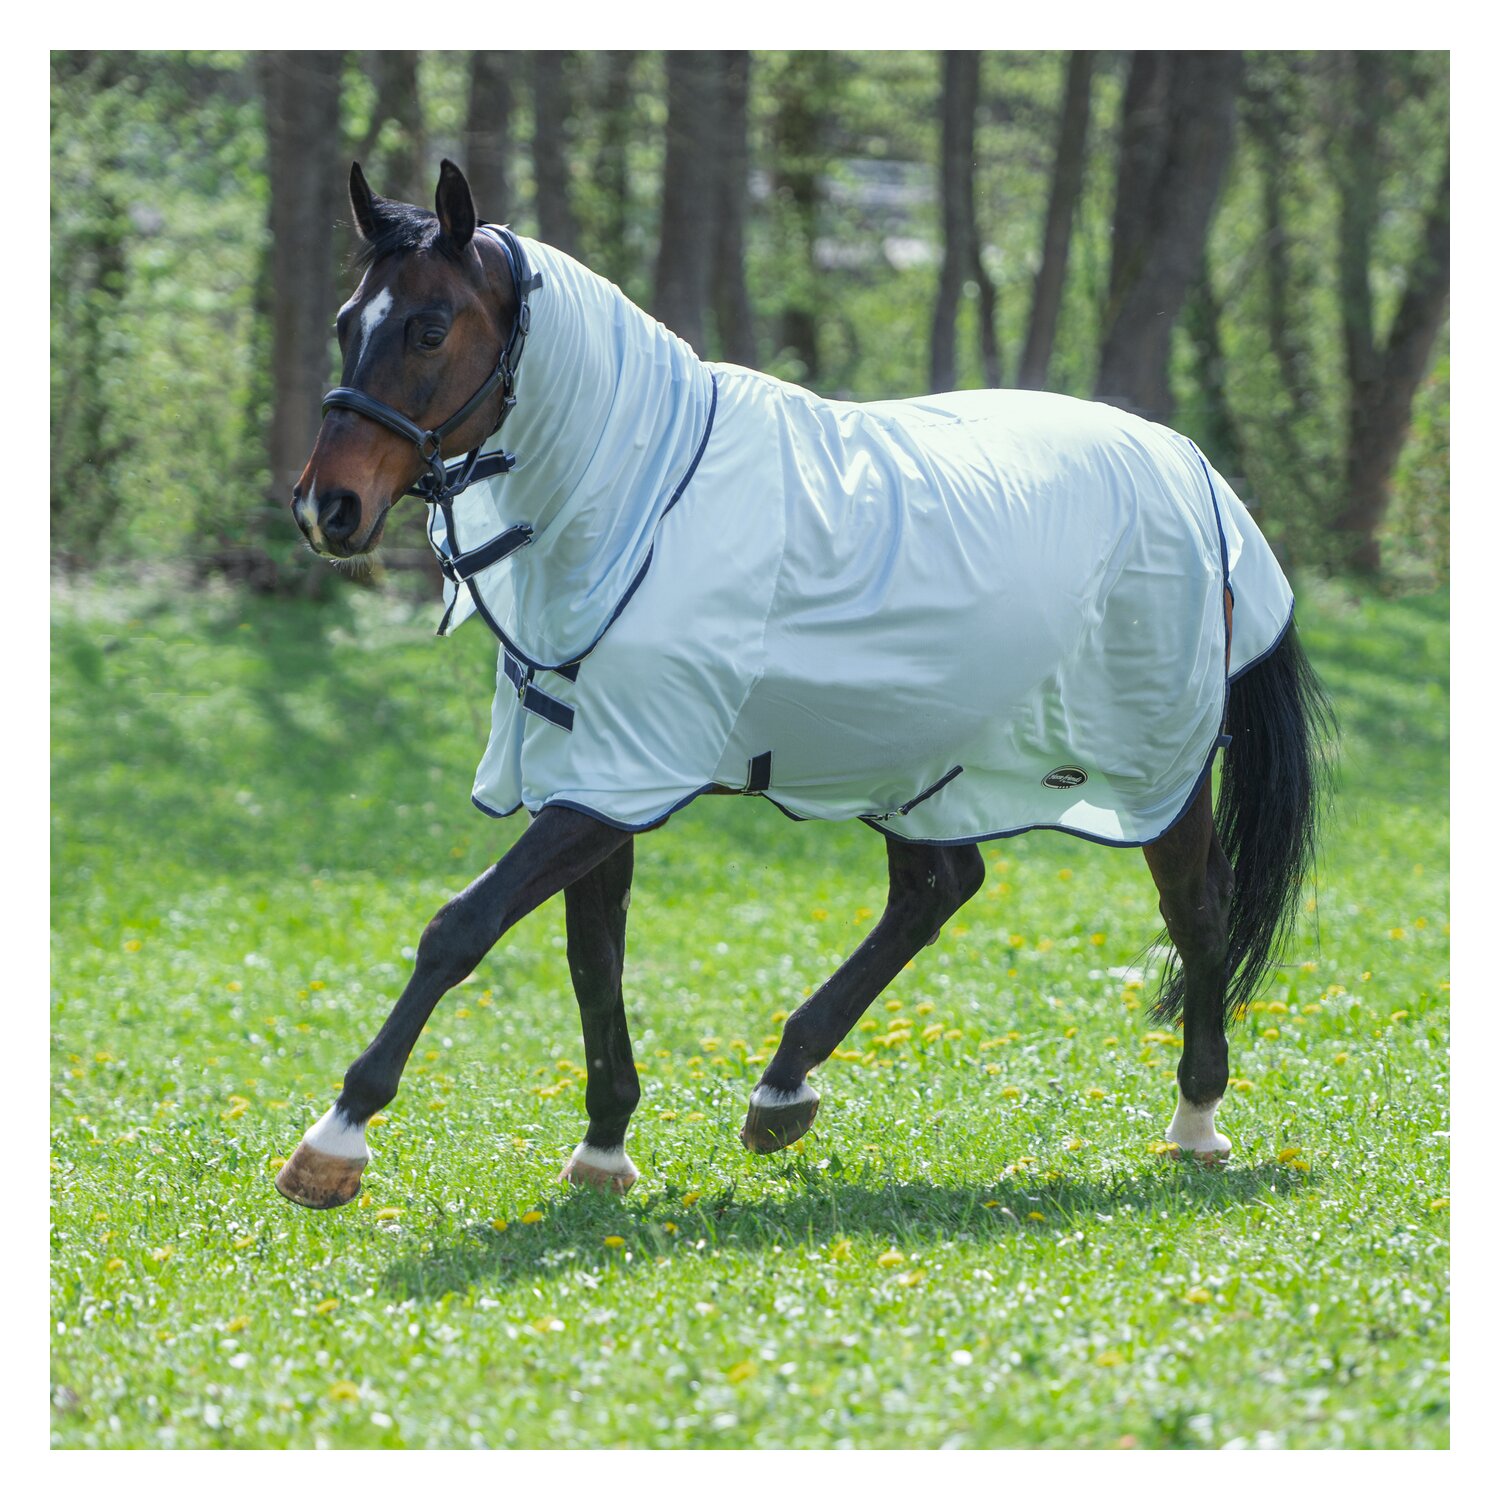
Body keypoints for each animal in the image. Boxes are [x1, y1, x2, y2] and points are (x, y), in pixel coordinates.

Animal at [276, 160, 1332, 1208]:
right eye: (346, 320)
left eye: (430, 328)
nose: (328, 508)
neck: (640, 499)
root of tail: (1187, 464)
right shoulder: (596, 774)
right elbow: (592, 959)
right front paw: (606, 1145)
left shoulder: (618, 778)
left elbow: (462, 927)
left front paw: (338, 1136)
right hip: (919, 760)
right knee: (938, 888)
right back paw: (784, 1085)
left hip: (1157, 768)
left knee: (1196, 910)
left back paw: (1196, 1122)